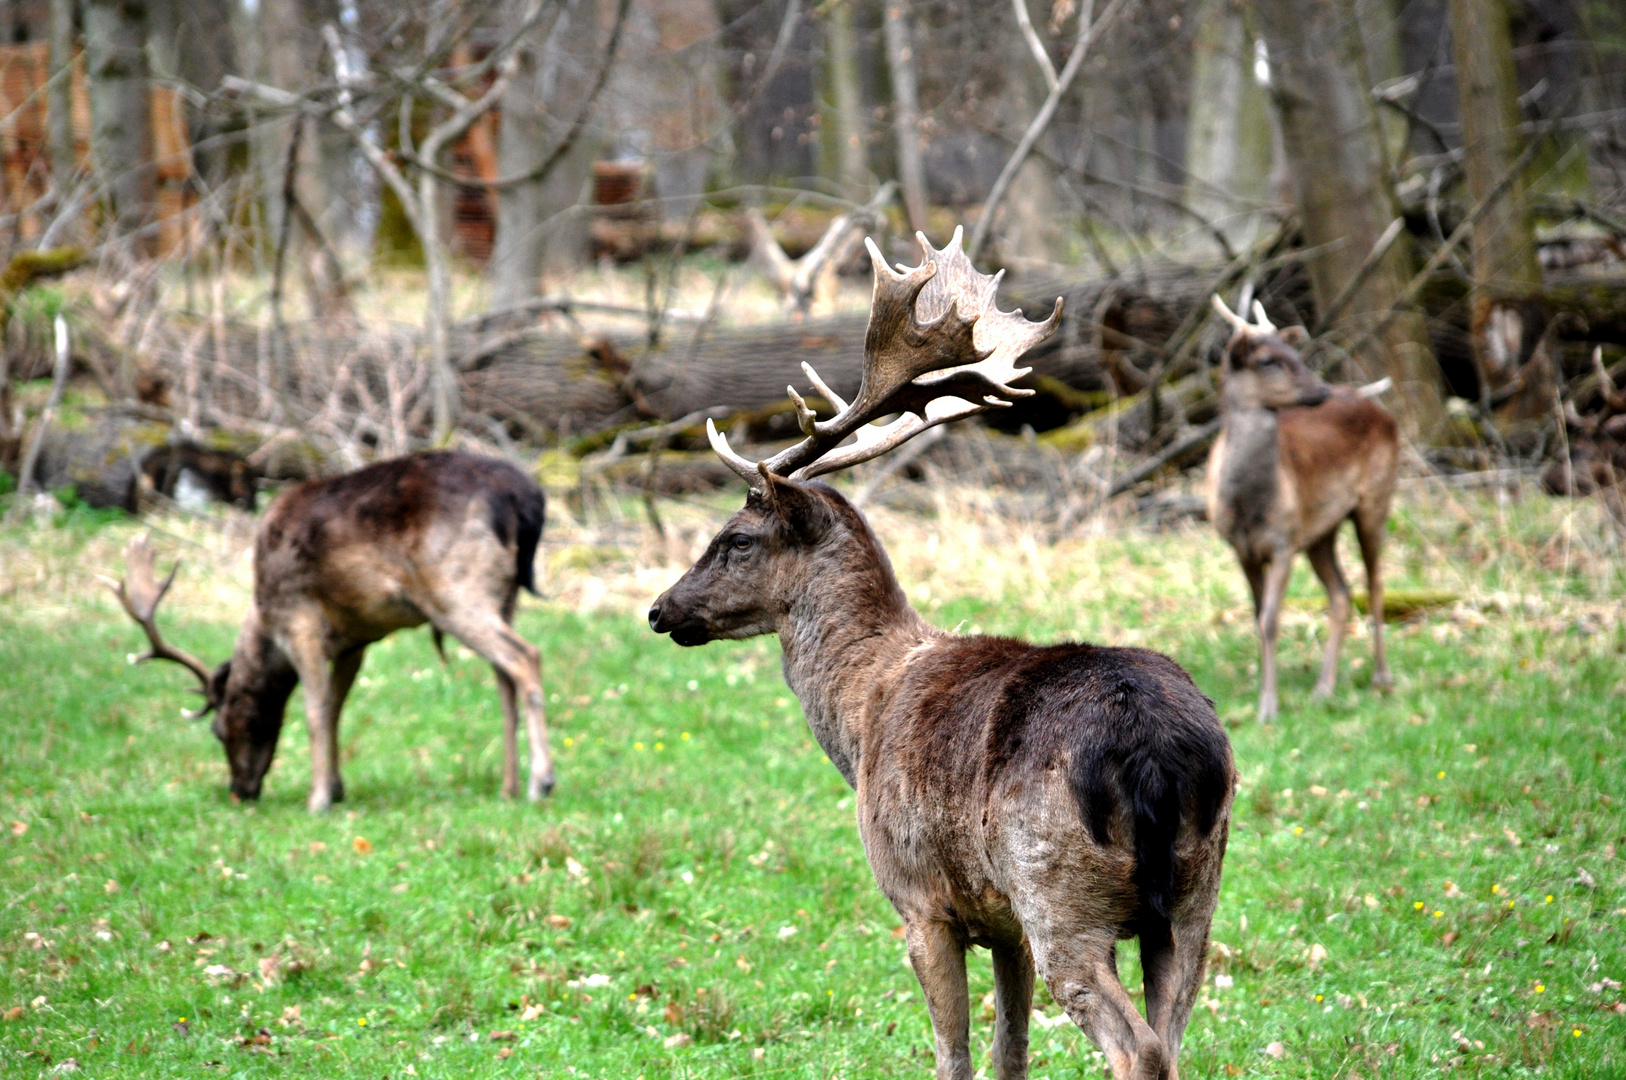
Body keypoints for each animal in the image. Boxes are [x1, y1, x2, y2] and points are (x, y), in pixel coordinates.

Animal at [108, 445, 556, 810]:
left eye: (219, 730)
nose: (240, 791)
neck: (263, 614)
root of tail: (524, 499)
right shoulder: (355, 638)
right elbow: (337, 708)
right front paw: (337, 788)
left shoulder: (298, 620)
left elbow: (315, 708)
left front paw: (318, 797)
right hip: (504, 597)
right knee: (504, 679)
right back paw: (509, 787)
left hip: (456, 587)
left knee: (525, 656)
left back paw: (542, 781)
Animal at [647, 229, 1229, 1080]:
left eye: (736, 538)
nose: (661, 609)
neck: (861, 714)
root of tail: (1153, 753)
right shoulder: (1003, 922)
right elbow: (1009, 1054)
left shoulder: (919, 897)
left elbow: (953, 1057)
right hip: (1192, 897)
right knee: (1177, 1036)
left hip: (1059, 888)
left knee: (1141, 1048)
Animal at [1209, 297, 1398, 725]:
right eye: (1267, 360)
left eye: (1295, 353)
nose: (1320, 389)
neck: (1251, 504)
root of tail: (1384, 412)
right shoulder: (1242, 549)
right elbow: (1258, 616)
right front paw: (1264, 691)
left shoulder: (1283, 541)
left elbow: (1271, 619)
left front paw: (1269, 706)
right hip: (1320, 532)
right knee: (1341, 594)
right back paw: (1324, 687)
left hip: (1375, 500)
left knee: (1375, 584)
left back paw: (1381, 676)